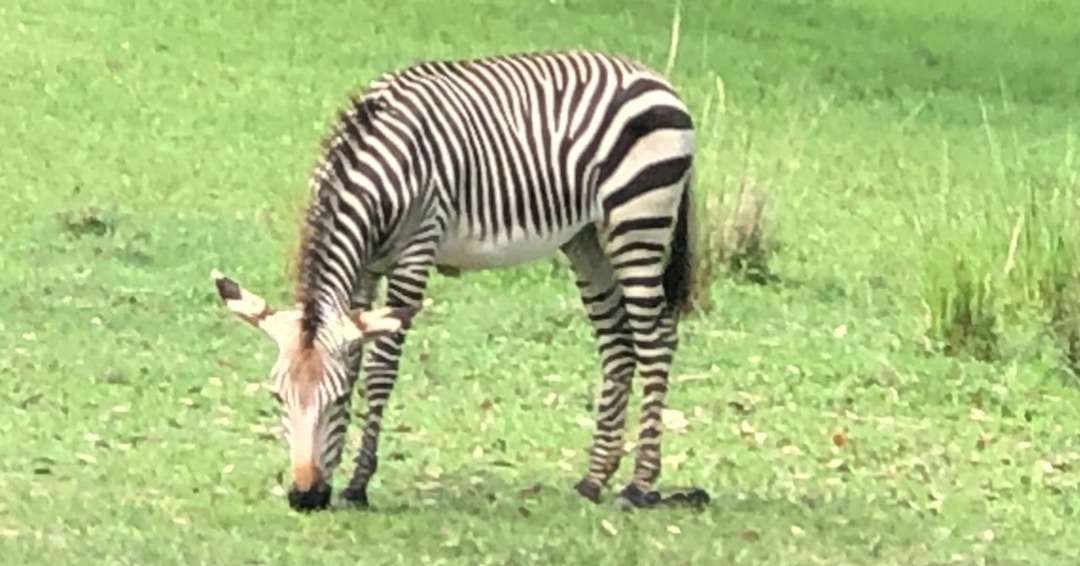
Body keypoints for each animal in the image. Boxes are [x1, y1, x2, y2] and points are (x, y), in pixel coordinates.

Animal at [212, 49, 708, 511]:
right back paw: (594, 479)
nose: (305, 497)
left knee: (655, 340)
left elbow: (380, 370)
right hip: (587, 238)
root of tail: (650, 75)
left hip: (638, 220)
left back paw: (640, 485)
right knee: (618, 343)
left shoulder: (416, 250)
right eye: (277, 397)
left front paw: (357, 483)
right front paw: (334, 475)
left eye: (334, 400)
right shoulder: (366, 268)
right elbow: (355, 360)